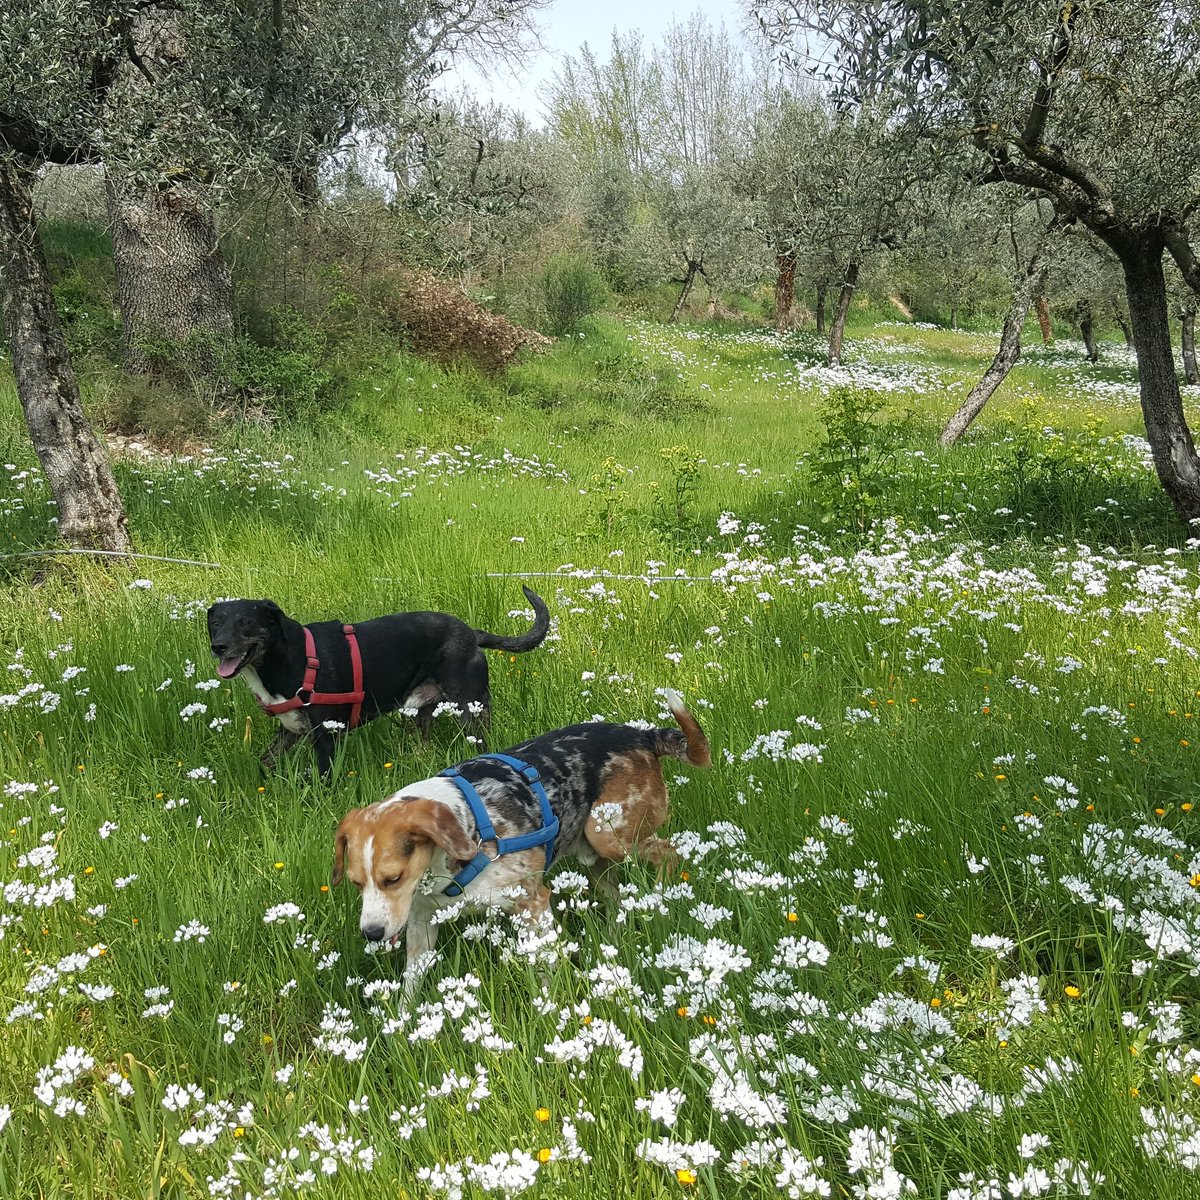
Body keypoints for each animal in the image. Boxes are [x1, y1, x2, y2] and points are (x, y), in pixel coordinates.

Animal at [207, 588, 552, 777]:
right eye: (215, 622)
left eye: (246, 622)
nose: (218, 646)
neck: (289, 658)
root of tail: (472, 634)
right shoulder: (288, 731)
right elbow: (264, 762)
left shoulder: (327, 734)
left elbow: (324, 779)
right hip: (422, 714)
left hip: (471, 707)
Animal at [333, 691, 705, 960]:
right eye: (355, 883)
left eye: (392, 879)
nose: (371, 933)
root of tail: (643, 735)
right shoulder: (422, 922)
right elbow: (409, 995)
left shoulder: (533, 904)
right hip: (595, 854)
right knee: (615, 895)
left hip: (606, 833)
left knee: (670, 852)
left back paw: (660, 896)